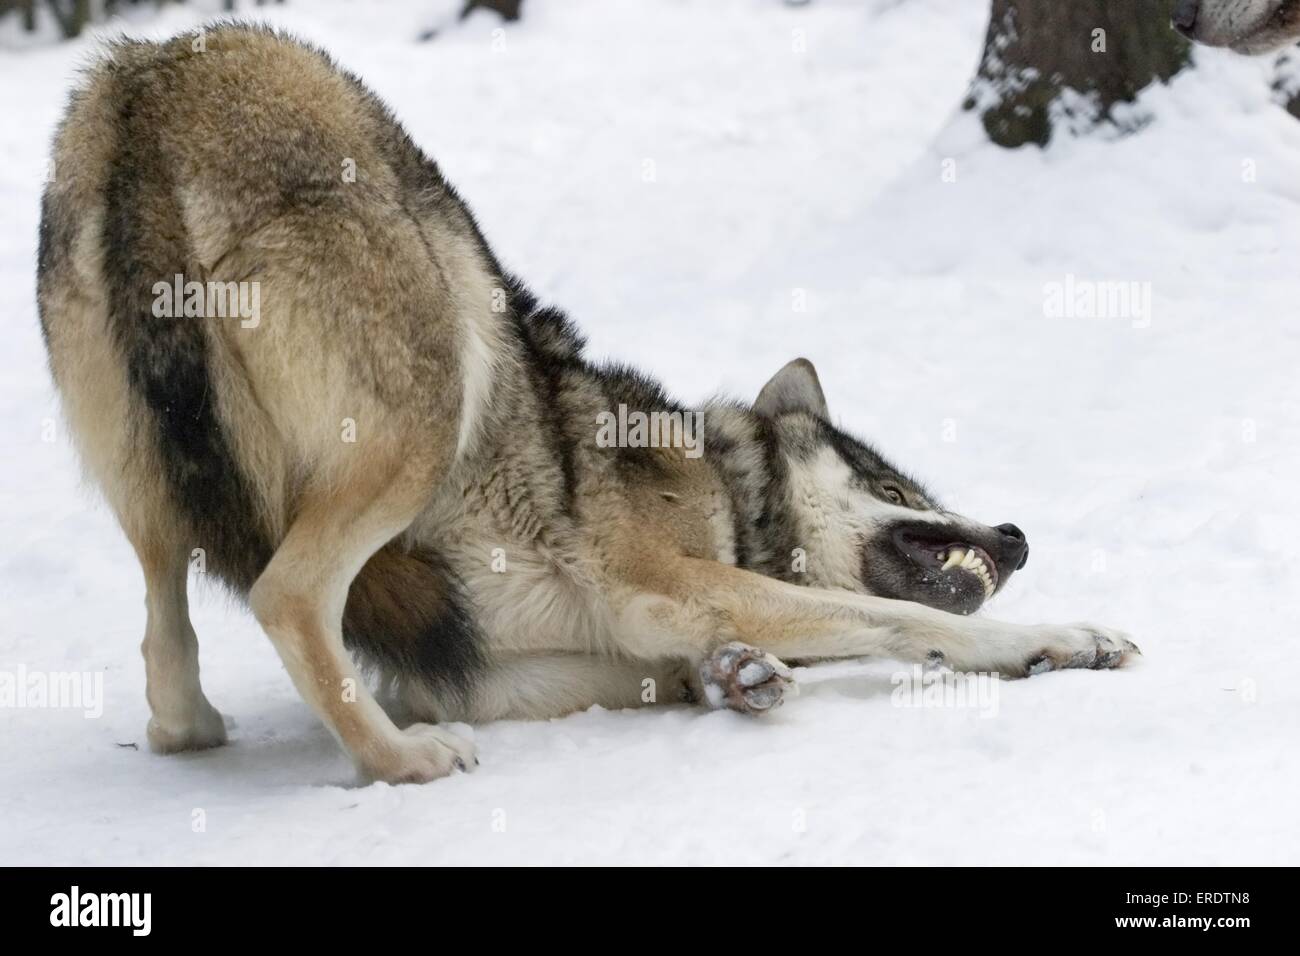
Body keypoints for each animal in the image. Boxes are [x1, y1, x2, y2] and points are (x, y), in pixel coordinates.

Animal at [38, 25, 1138, 785]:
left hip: (151, 488)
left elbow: (685, 666)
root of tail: (146, 79)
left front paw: (734, 676)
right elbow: (899, 621)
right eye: (896, 484)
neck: (724, 489)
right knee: (282, 596)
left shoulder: (480, 666)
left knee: (165, 636)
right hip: (440, 385)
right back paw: (405, 762)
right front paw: (1066, 637)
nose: (1015, 533)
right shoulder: (658, 582)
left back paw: (198, 730)